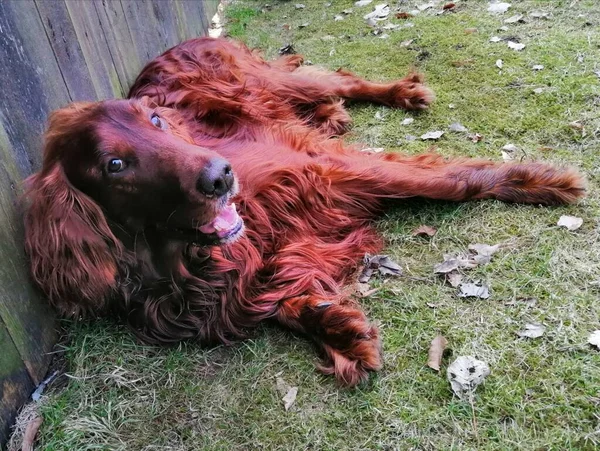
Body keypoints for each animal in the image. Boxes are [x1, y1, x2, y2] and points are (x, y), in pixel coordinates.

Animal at [24, 37, 584, 386]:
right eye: (114, 164)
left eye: (158, 120)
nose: (221, 175)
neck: (182, 259)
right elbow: (278, 298)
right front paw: (338, 329)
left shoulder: (316, 168)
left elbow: (447, 180)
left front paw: (538, 180)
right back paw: (333, 114)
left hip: (274, 83)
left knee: (342, 80)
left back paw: (401, 92)